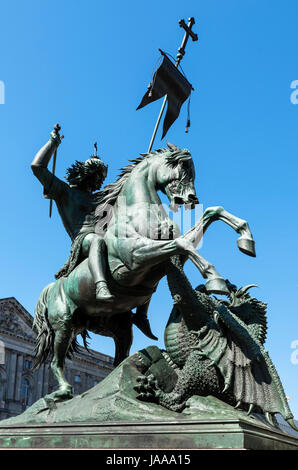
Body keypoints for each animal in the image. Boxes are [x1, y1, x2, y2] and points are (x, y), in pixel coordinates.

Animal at [33, 141, 256, 398]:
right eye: (181, 167)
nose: (191, 198)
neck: (139, 213)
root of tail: (49, 289)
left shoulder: (170, 260)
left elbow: (210, 215)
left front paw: (246, 239)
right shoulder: (135, 260)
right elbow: (184, 244)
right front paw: (215, 279)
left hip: (114, 328)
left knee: (118, 357)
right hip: (64, 324)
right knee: (55, 361)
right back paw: (64, 390)